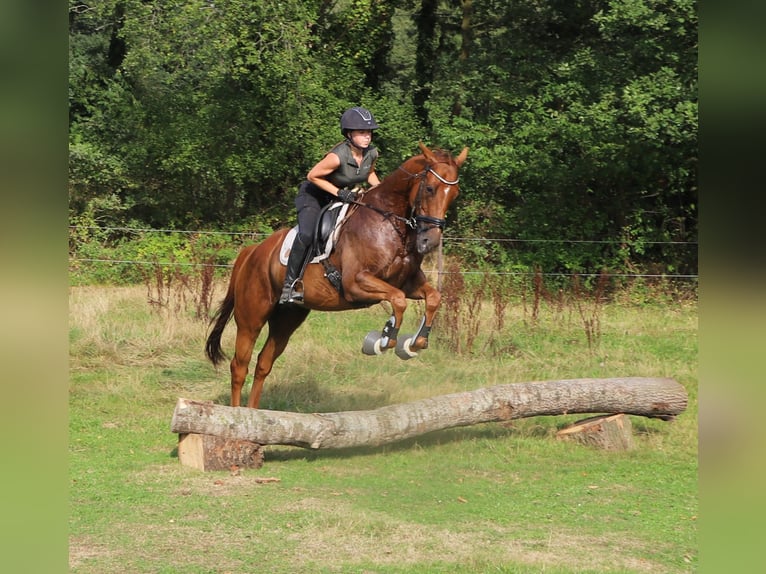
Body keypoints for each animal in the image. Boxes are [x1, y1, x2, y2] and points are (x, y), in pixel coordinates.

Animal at [205, 142, 469, 408]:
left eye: (454, 195)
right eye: (430, 188)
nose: (429, 242)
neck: (390, 224)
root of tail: (251, 252)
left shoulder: (408, 283)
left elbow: (432, 298)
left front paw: (416, 342)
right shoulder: (356, 284)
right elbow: (398, 300)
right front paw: (384, 339)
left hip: (287, 318)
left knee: (263, 363)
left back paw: (254, 413)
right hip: (251, 317)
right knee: (239, 366)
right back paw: (238, 415)